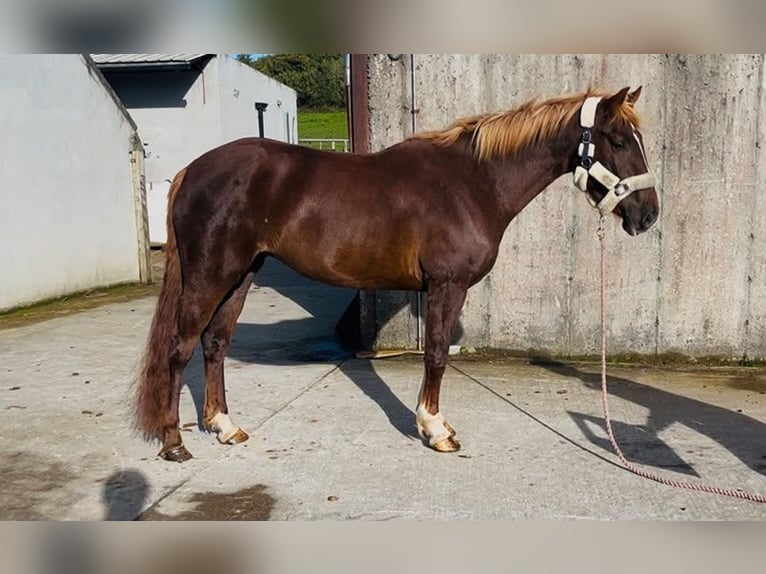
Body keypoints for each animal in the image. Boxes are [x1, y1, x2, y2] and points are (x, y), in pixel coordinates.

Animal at [136, 86, 659, 462]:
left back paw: (225, 428)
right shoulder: (447, 285)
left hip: (242, 274)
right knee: (180, 350)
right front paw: (435, 429)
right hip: (210, 276)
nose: (648, 215)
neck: (473, 184)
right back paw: (174, 443)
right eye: (617, 141)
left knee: (215, 344)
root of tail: (193, 170)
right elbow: (437, 355)